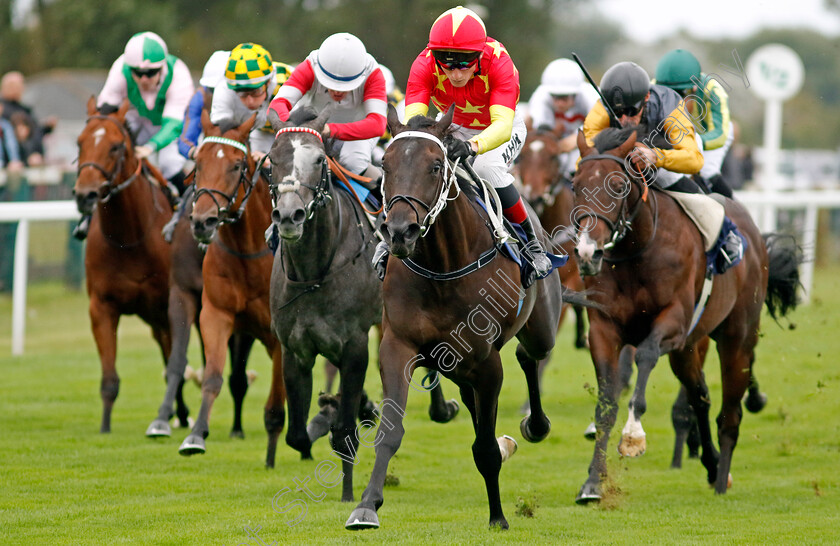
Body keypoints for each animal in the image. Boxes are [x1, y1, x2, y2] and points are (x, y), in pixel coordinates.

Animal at [75, 96, 180, 430]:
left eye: (116, 146)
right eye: (79, 142)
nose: (85, 194)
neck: (129, 239)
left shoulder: (167, 306)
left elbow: (175, 364)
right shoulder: (101, 307)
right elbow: (109, 379)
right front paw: (105, 427)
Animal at [176, 112, 286, 466]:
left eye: (237, 165)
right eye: (198, 162)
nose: (203, 221)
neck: (247, 252)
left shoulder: (280, 332)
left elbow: (279, 394)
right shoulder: (216, 314)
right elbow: (212, 377)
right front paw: (196, 435)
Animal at [268, 104, 382, 500]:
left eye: (319, 159)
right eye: (272, 159)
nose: (289, 215)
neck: (314, 273)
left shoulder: (355, 346)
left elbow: (346, 432)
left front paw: (348, 493)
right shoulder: (295, 349)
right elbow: (297, 435)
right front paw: (330, 415)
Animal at [344, 105, 568, 528]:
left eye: (435, 166)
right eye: (385, 164)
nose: (400, 231)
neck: (442, 267)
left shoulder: (487, 363)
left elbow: (486, 447)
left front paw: (498, 517)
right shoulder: (398, 346)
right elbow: (390, 431)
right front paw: (366, 505)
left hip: (540, 327)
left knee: (530, 354)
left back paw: (536, 424)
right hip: (457, 366)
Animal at [572, 125, 800, 500]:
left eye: (618, 186)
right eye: (575, 184)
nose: (588, 252)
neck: (639, 250)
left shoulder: (674, 322)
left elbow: (646, 355)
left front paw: (633, 436)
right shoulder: (604, 329)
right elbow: (606, 404)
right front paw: (592, 482)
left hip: (736, 338)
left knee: (730, 414)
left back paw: (721, 479)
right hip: (689, 348)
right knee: (701, 397)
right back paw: (711, 464)